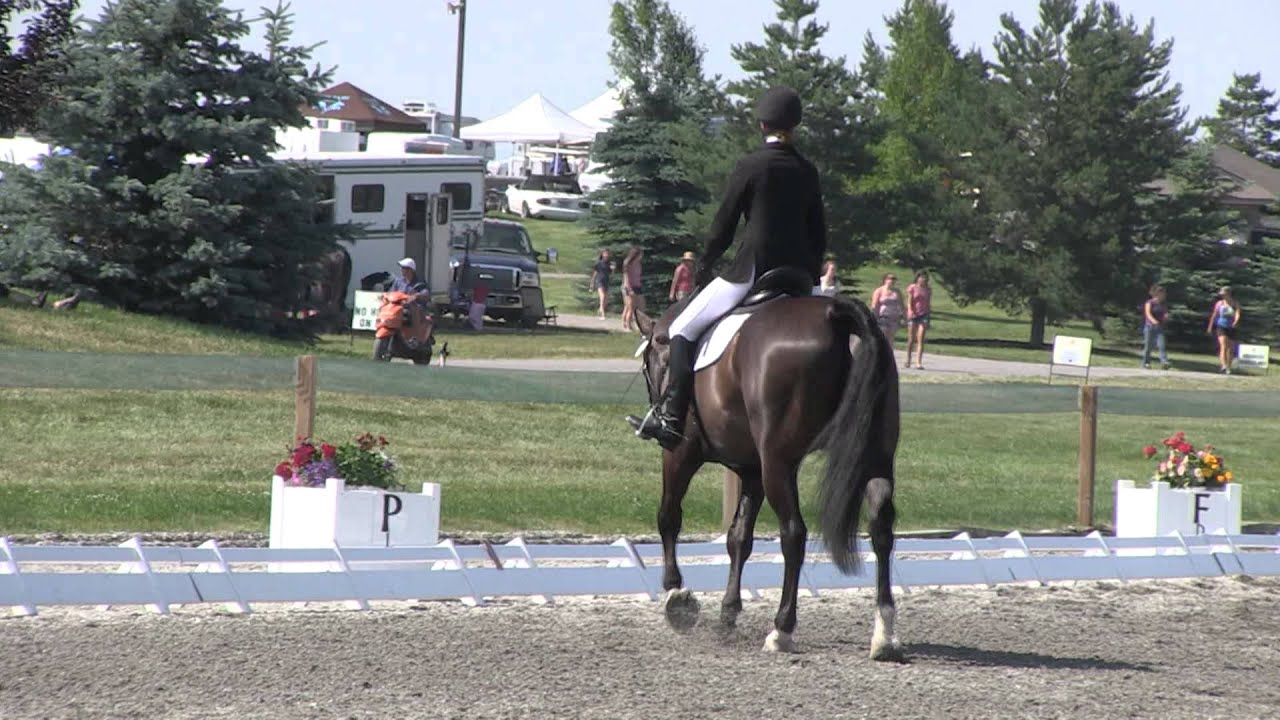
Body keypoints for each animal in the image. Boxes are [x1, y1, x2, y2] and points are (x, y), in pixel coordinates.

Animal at [629, 266, 901, 661]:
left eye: (648, 364)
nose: (655, 407)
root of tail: (833, 314)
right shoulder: (751, 470)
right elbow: (739, 538)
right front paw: (727, 615)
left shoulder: (682, 452)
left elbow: (668, 517)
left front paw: (676, 596)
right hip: (874, 455)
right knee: (881, 526)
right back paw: (884, 636)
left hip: (778, 462)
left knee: (794, 534)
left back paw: (781, 630)